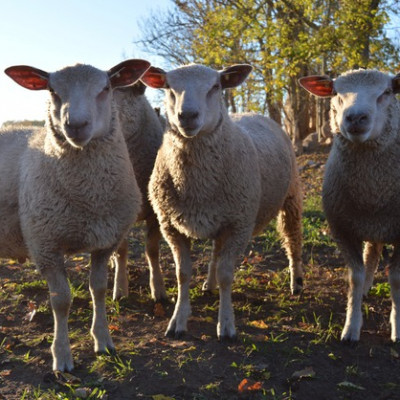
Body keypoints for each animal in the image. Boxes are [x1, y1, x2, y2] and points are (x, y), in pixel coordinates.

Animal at [3, 57, 150, 370]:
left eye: (105, 88)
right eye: (52, 90)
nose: (76, 125)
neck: (88, 199)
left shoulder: (105, 241)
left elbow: (99, 289)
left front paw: (104, 341)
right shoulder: (45, 244)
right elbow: (61, 301)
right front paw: (61, 356)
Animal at [141, 64, 304, 340]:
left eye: (215, 87)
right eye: (168, 87)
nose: (187, 116)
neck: (197, 185)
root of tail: (253, 113)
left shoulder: (239, 224)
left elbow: (227, 275)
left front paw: (226, 325)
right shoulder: (171, 226)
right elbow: (183, 274)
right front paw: (177, 321)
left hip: (290, 197)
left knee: (292, 241)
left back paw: (296, 282)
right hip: (222, 216)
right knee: (216, 252)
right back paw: (209, 284)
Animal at [298, 69, 400, 340]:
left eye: (387, 92)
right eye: (335, 92)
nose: (355, 118)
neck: (372, 192)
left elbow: (396, 279)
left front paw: (397, 328)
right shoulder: (343, 228)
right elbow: (355, 276)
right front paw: (351, 327)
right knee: (372, 253)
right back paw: (366, 288)